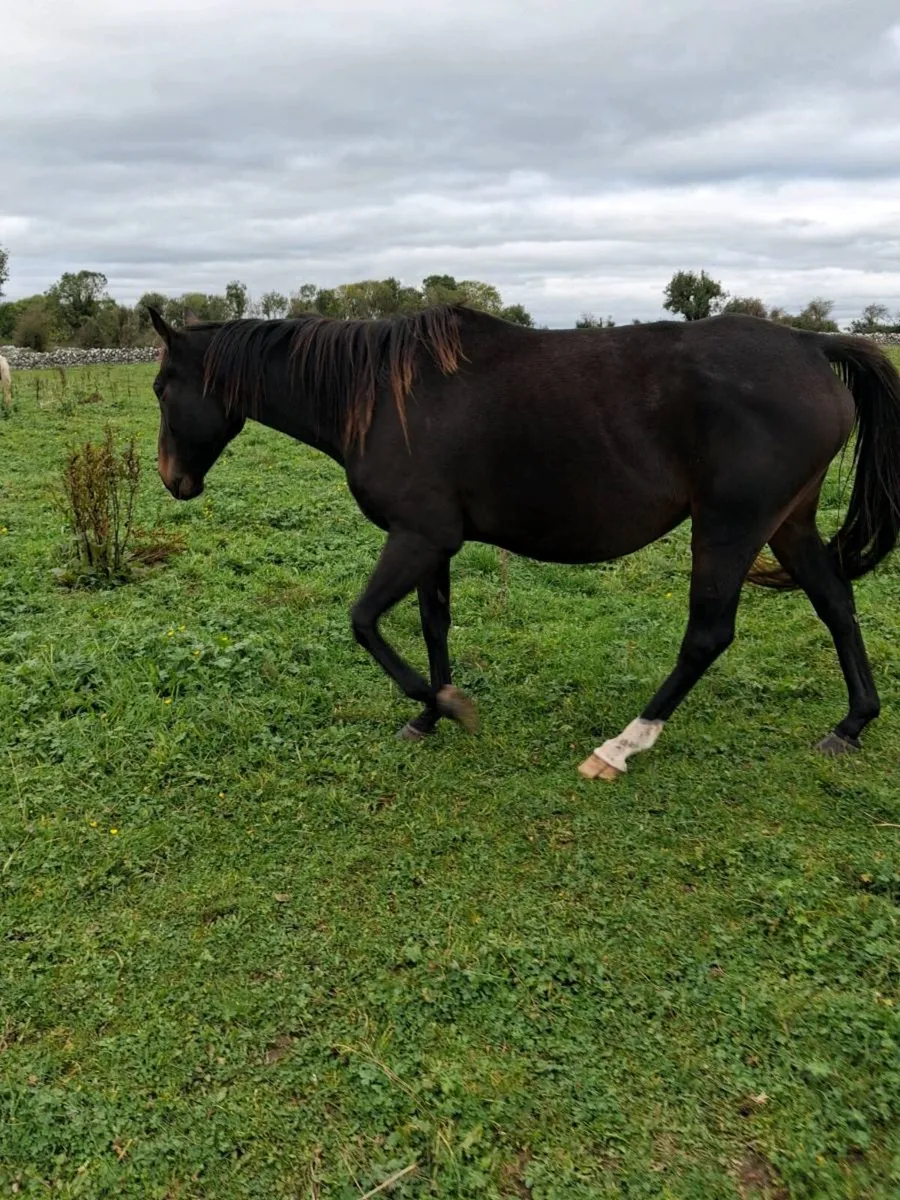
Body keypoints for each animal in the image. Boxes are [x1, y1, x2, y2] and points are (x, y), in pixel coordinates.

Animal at [145, 303, 900, 780]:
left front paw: (443, 705)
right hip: (787, 522)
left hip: (730, 527)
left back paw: (621, 747)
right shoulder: (434, 544)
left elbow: (364, 622)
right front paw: (429, 714)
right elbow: (433, 624)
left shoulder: (417, 536)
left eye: (160, 387)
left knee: (708, 636)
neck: (383, 398)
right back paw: (852, 724)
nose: (172, 479)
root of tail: (810, 345)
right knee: (836, 604)